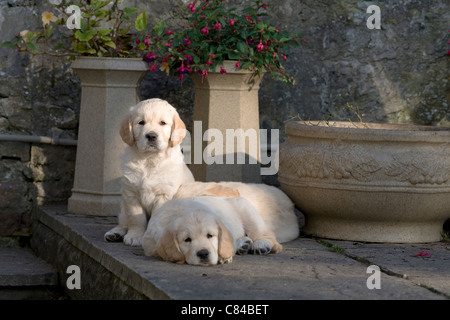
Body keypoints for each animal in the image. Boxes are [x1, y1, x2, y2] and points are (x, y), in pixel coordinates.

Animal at [104, 99, 194, 246]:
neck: (149, 160)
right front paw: (135, 236)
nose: (151, 136)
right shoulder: (131, 194)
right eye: (141, 122)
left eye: (162, 123)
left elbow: (156, 219)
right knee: (124, 222)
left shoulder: (164, 195)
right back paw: (115, 233)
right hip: (123, 206)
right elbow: (136, 218)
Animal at [142, 196, 284, 266]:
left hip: (246, 209)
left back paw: (261, 244)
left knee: (267, 235)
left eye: (210, 235)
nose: (203, 254)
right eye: (187, 240)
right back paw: (243, 244)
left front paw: (223, 257)